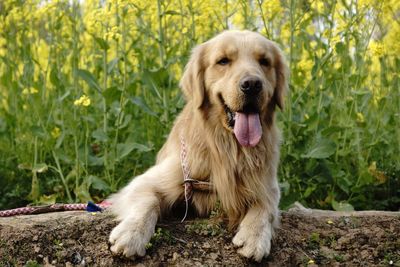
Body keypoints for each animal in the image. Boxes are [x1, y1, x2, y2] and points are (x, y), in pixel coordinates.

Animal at [109, 30, 288, 262]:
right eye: (223, 61)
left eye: (264, 61)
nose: (252, 85)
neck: (227, 147)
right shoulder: (152, 179)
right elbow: (147, 202)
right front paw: (131, 234)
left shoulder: (268, 185)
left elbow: (266, 206)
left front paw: (254, 237)